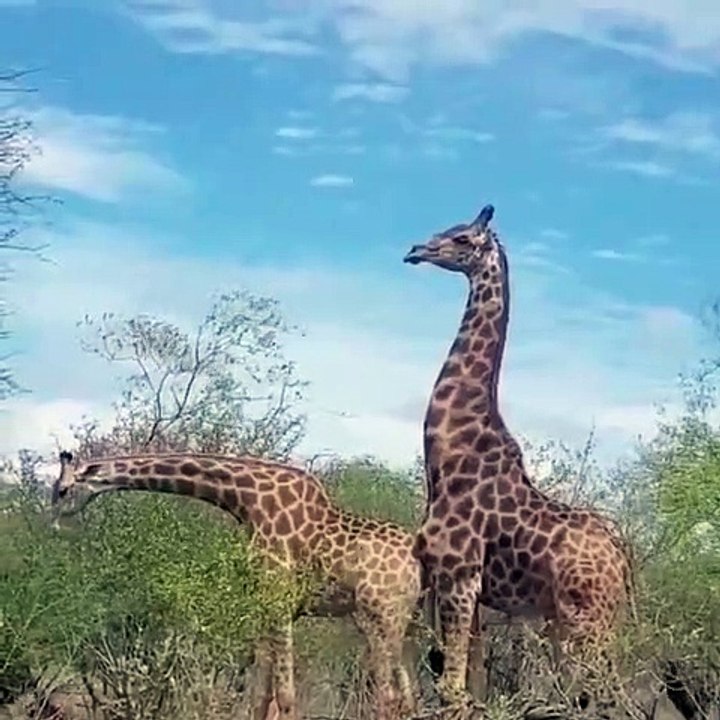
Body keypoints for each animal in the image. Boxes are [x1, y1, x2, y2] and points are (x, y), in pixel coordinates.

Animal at [51, 450, 422, 720]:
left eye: (62, 490)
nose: (52, 524)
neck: (245, 500)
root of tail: (418, 563)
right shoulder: (269, 604)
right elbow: (262, 694)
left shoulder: (279, 598)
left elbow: (285, 696)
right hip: (395, 619)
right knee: (405, 693)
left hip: (381, 612)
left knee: (389, 694)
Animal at [404, 204, 634, 707]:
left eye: (463, 238)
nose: (415, 250)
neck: (447, 455)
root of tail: (623, 561)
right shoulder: (447, 581)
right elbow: (459, 682)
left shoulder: (459, 576)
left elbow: (451, 688)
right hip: (577, 621)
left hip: (586, 620)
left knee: (606, 695)